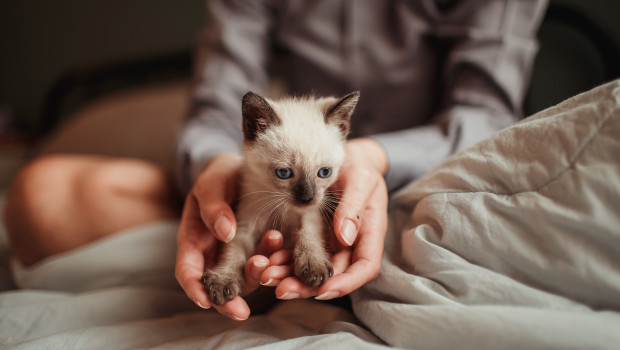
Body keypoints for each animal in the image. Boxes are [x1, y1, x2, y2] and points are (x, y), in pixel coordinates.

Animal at [201, 91, 360, 306]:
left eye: (324, 172)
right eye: (284, 173)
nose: (307, 198)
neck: (281, 208)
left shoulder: (310, 214)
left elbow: (308, 234)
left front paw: (314, 266)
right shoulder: (245, 223)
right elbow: (233, 249)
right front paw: (223, 280)